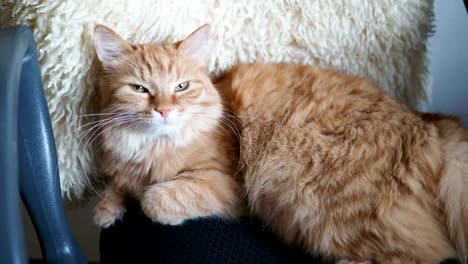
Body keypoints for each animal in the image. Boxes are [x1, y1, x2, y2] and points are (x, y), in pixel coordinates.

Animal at [92, 23, 468, 262]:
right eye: (139, 89)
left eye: (182, 87)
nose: (164, 110)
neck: (150, 150)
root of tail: (427, 123)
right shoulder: (122, 168)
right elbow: (116, 188)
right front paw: (107, 209)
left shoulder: (226, 185)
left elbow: (156, 199)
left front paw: (145, 199)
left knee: (426, 253)